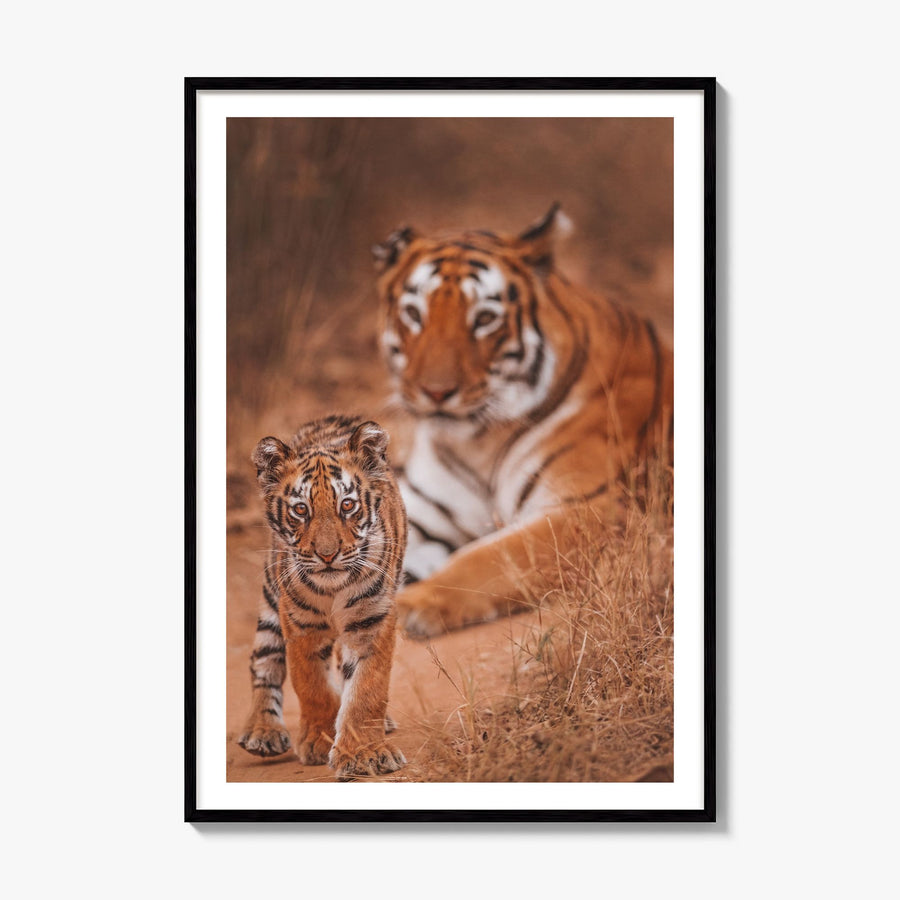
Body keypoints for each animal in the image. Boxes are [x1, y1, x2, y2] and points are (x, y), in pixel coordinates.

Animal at [237, 415, 408, 780]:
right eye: (301, 509)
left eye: (347, 505)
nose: (327, 555)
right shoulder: (300, 625)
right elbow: (311, 684)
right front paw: (319, 740)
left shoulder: (372, 621)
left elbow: (367, 689)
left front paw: (364, 753)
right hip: (272, 595)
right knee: (263, 659)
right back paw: (263, 731)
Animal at [373, 203, 673, 638]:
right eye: (414, 314)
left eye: (484, 319)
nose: (436, 392)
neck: (477, 441)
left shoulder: (586, 511)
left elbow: (488, 558)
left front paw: (414, 604)